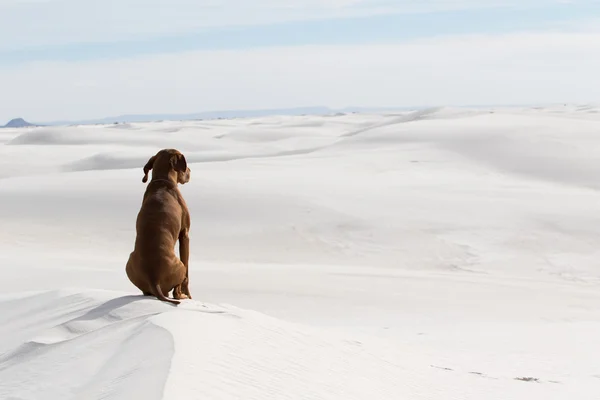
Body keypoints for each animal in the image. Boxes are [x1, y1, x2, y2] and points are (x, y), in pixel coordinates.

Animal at [126, 148, 192, 304]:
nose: (190, 171)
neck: (162, 181)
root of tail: (153, 277)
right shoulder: (185, 234)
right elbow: (187, 271)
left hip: (129, 263)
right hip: (179, 266)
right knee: (177, 289)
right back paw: (181, 295)